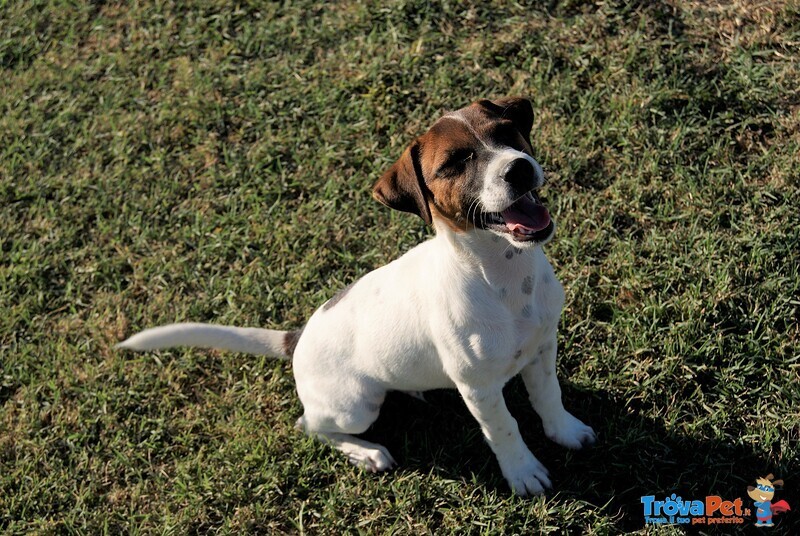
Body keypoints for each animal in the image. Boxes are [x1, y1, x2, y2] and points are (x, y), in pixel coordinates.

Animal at [117, 95, 592, 494]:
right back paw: (366, 453)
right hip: (356, 407)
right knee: (309, 425)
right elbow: (505, 428)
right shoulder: (478, 389)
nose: (519, 168)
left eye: (507, 132)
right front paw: (523, 472)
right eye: (456, 163)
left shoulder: (542, 346)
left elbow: (548, 395)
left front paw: (565, 432)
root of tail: (297, 338)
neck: (504, 276)